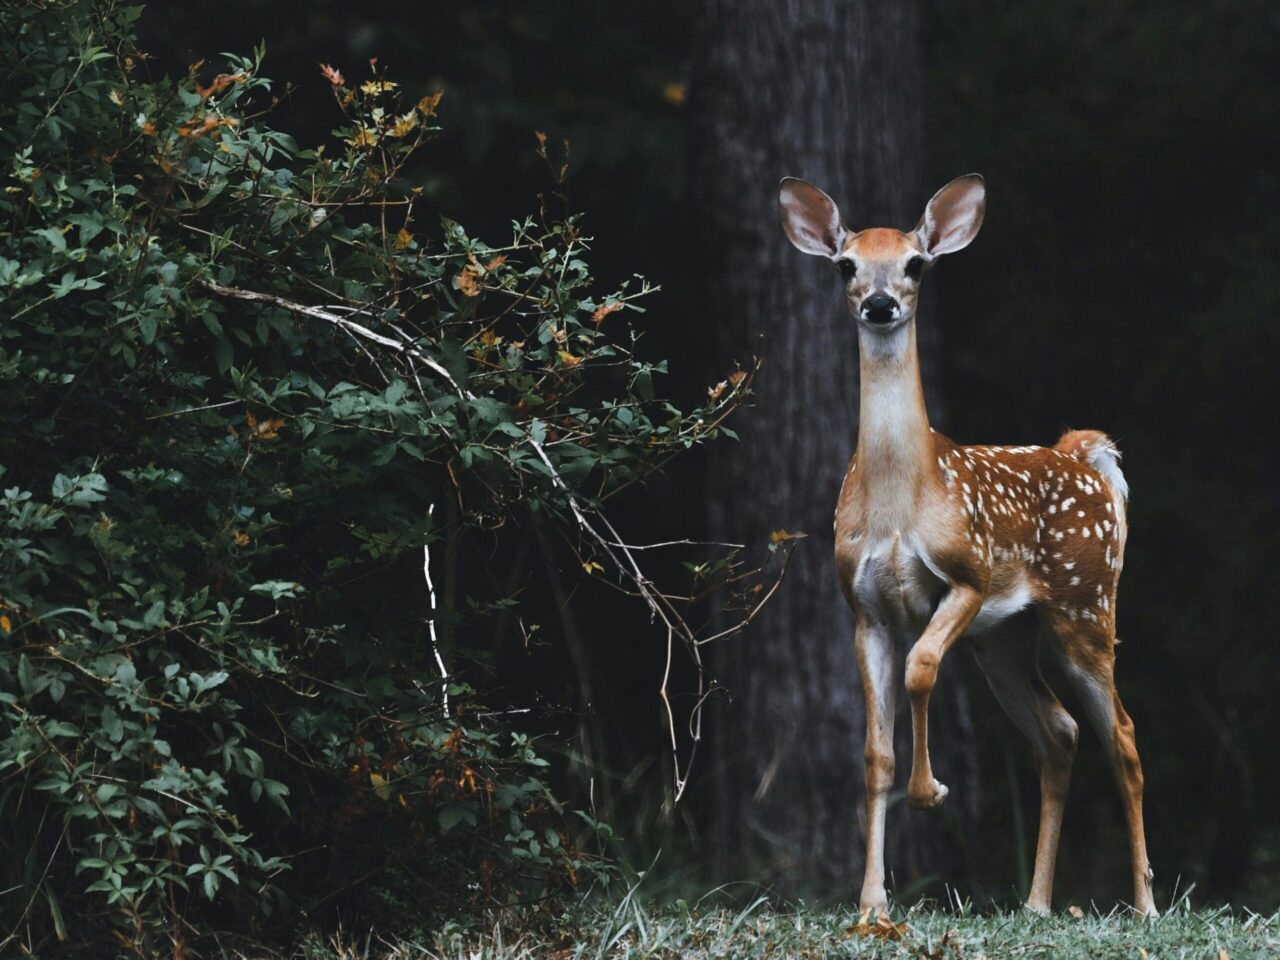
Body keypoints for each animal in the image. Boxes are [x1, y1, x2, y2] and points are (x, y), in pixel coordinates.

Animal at [777, 174, 1155, 918]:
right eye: (846, 266)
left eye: (916, 264)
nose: (881, 304)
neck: (901, 502)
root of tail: (1085, 456)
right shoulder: (863, 609)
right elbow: (875, 753)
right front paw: (872, 903)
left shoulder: (968, 577)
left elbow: (922, 668)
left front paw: (931, 792)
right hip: (1005, 638)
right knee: (1059, 734)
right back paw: (1036, 903)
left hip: (1086, 605)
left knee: (1122, 737)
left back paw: (1146, 905)